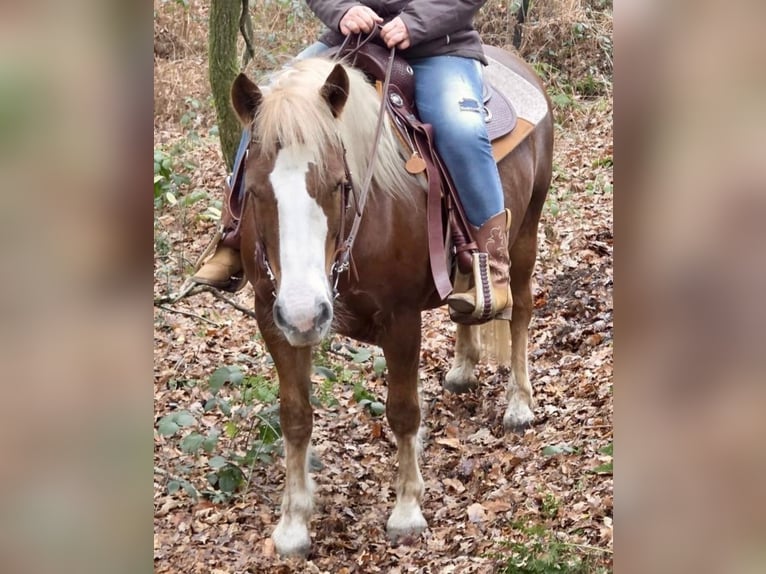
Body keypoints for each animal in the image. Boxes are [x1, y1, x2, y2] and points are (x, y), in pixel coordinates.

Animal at [230, 48, 553, 557]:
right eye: (257, 191)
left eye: (340, 184)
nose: (306, 314)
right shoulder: (272, 317)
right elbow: (295, 416)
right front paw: (293, 524)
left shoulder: (400, 320)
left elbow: (402, 412)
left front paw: (406, 511)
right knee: (468, 302)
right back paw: (463, 368)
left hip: (525, 234)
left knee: (518, 310)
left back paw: (519, 403)